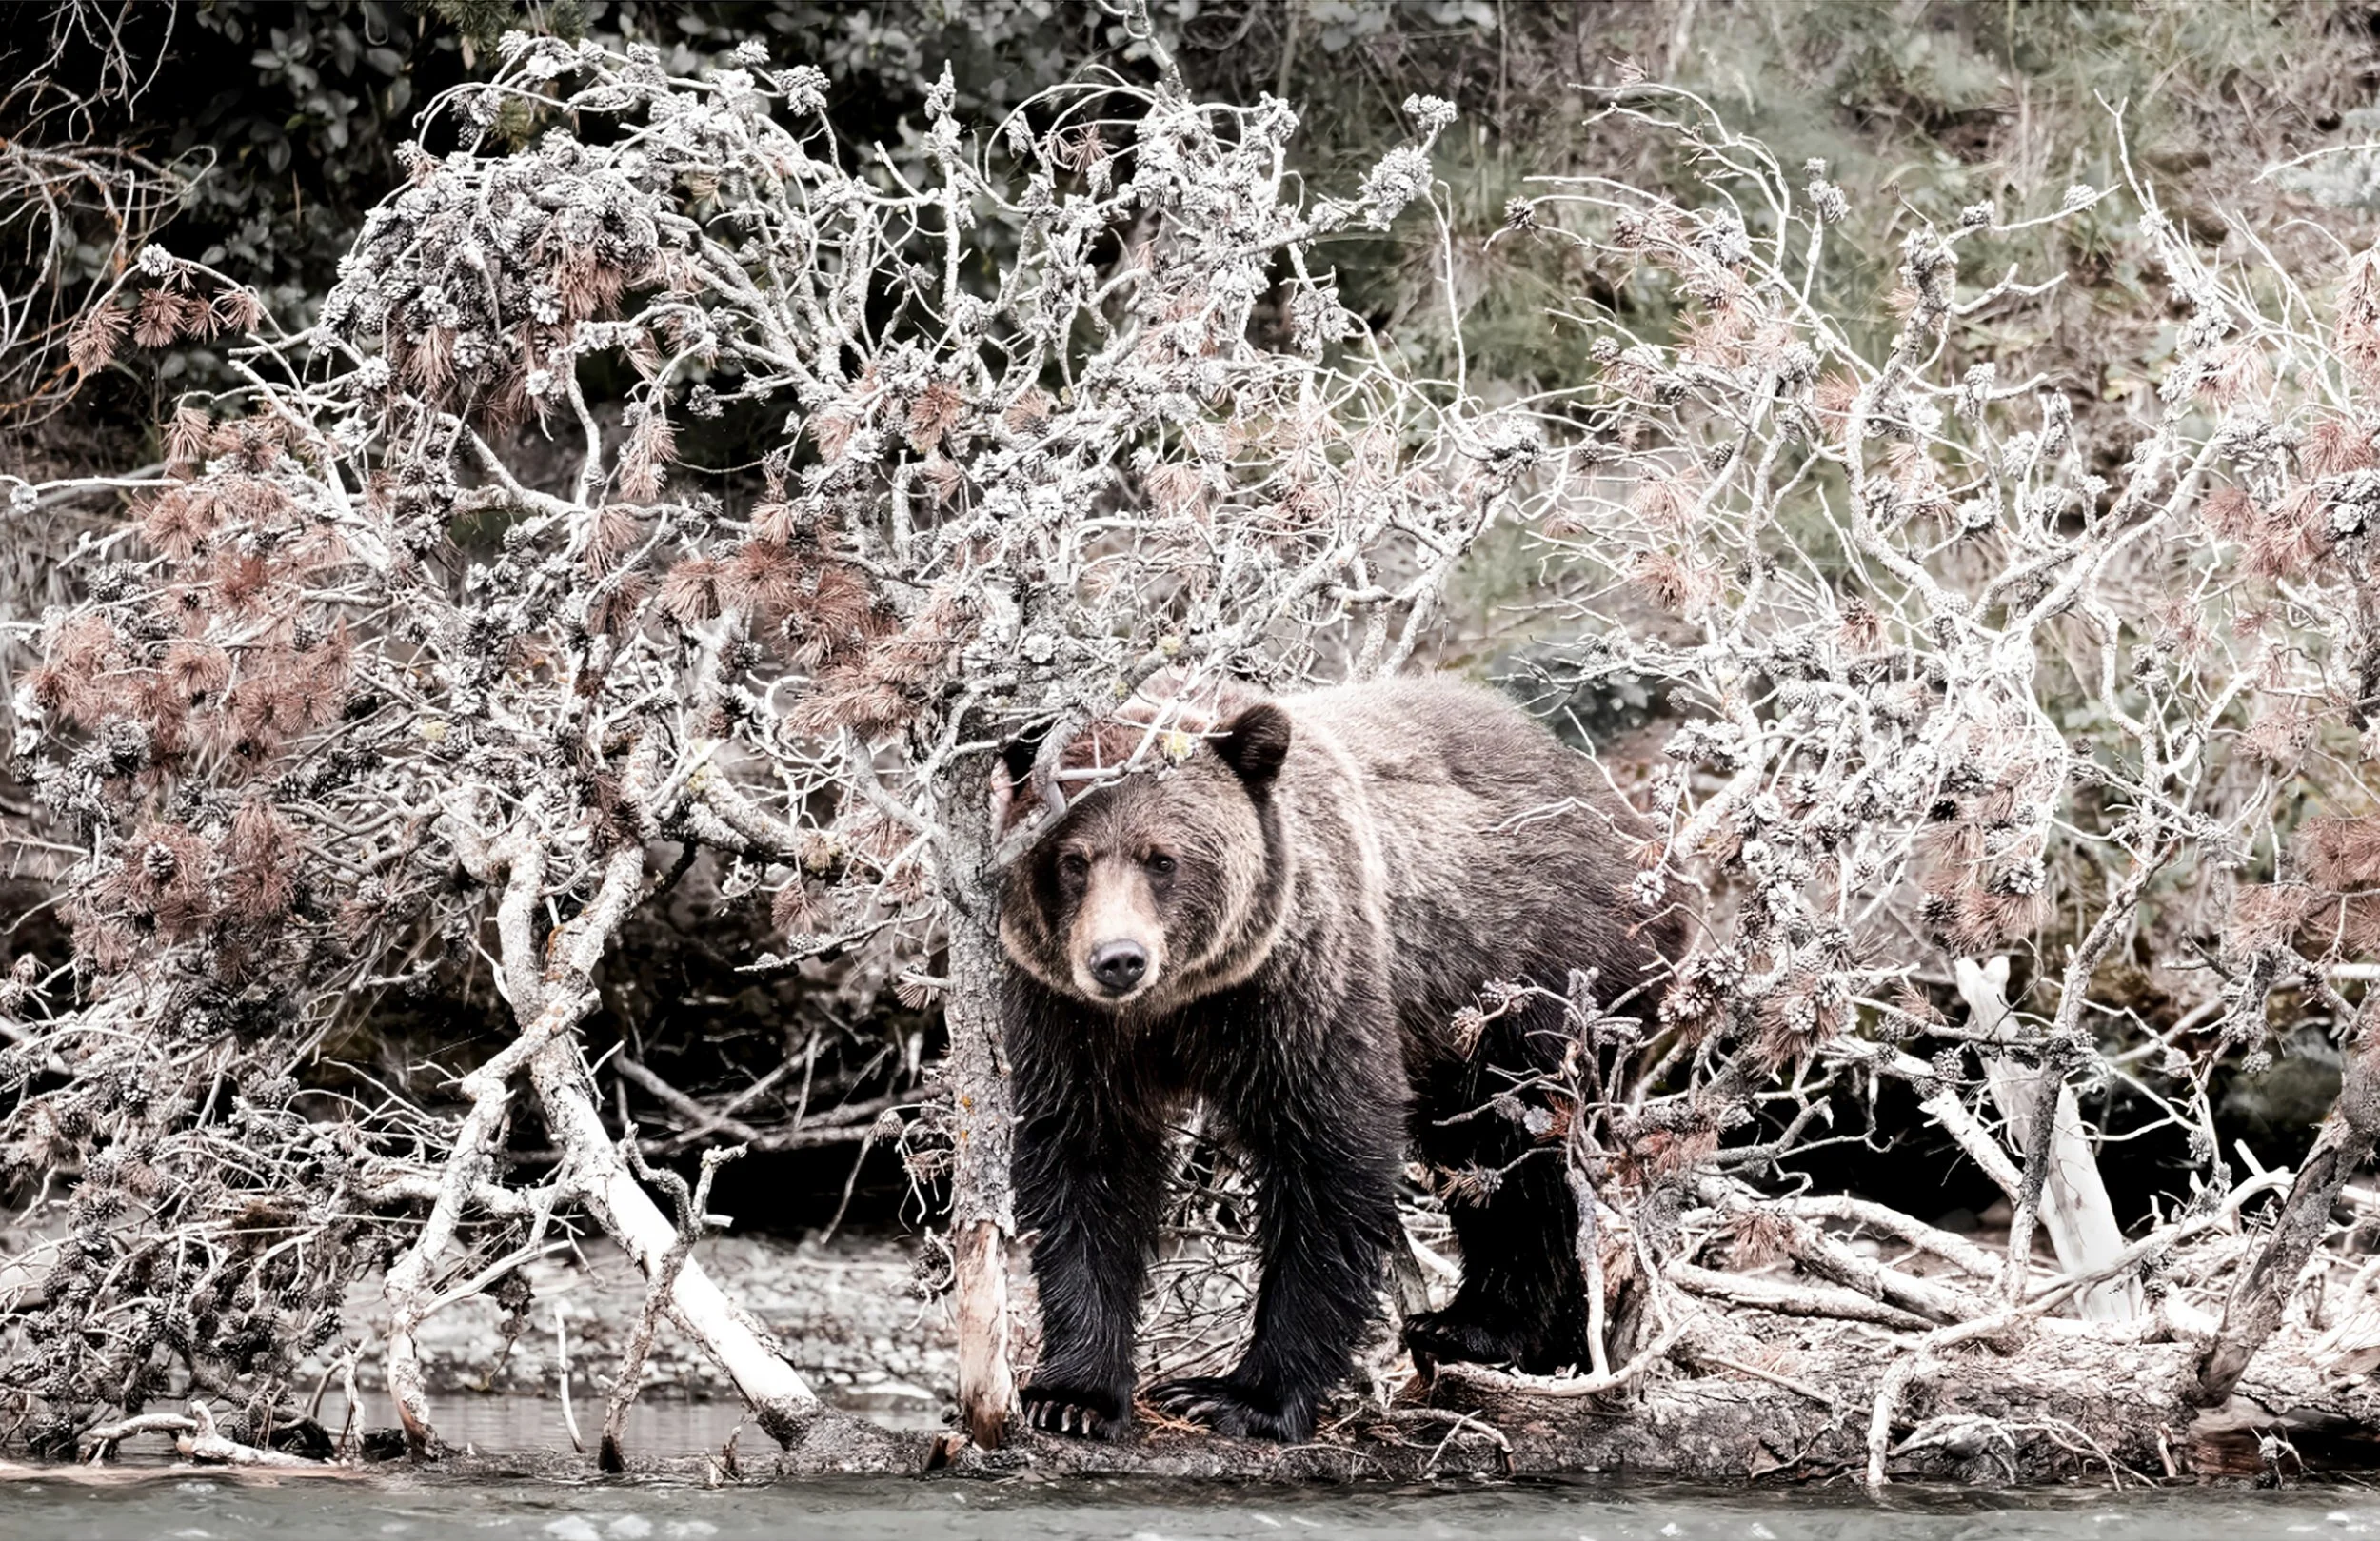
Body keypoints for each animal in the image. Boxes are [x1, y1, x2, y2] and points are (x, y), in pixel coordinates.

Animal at [995, 674, 1682, 1441]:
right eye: (1072, 860)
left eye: (1162, 858)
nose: (1118, 958)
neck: (1177, 1008)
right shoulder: (1069, 1022)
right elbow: (1084, 1165)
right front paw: (1073, 1395)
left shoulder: (1301, 989)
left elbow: (1328, 1159)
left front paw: (1243, 1396)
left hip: (1533, 978)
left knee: (1520, 1152)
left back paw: (1481, 1326)